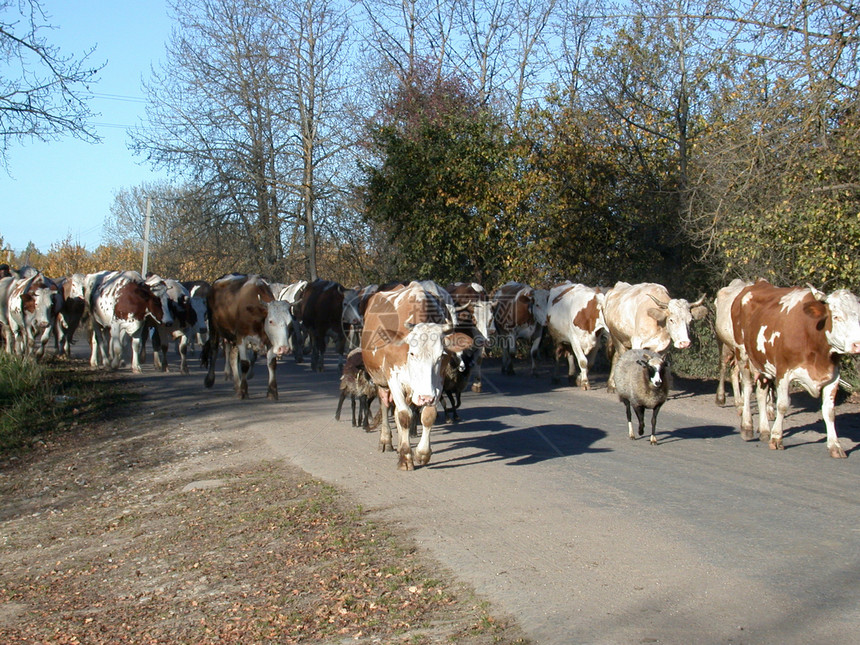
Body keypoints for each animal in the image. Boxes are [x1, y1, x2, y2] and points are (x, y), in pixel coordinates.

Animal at [728, 280, 860, 456]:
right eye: (837, 316)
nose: (857, 344)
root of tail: (756, 284)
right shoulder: (783, 372)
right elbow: (783, 405)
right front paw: (776, 438)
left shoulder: (833, 376)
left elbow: (829, 411)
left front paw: (835, 446)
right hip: (742, 354)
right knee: (748, 388)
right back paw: (747, 427)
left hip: (763, 362)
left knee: (761, 393)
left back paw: (764, 431)